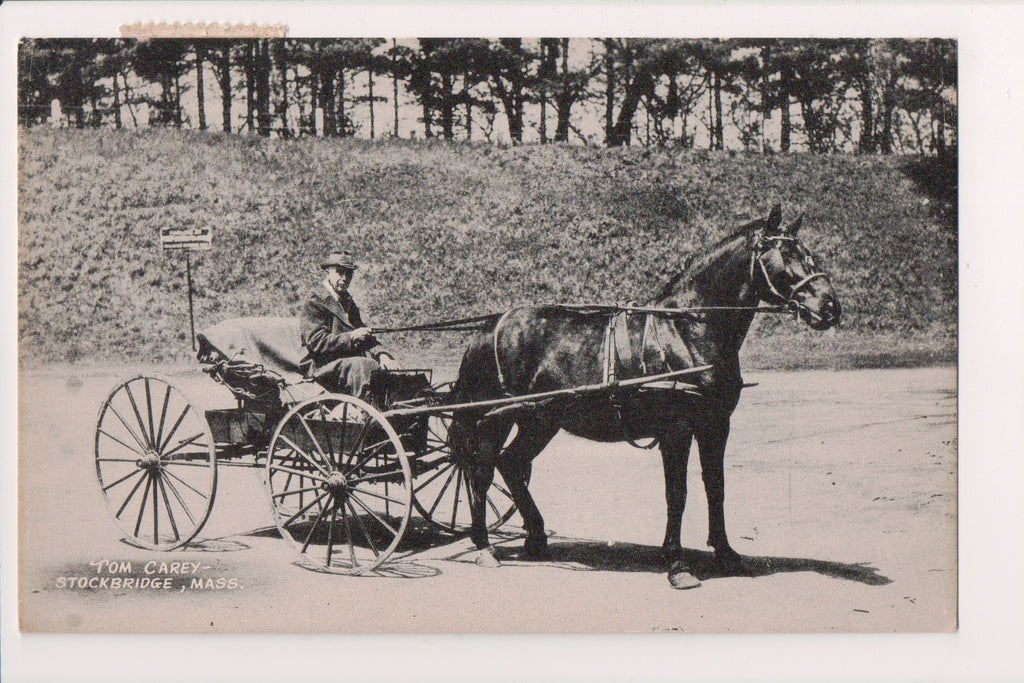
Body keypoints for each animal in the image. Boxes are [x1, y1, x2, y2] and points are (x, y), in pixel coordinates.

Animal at [452, 205, 843, 589]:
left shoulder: (716, 425)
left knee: (511, 463)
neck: (688, 329)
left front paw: (726, 554)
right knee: (481, 469)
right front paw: (677, 563)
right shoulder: (677, 428)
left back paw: (535, 537)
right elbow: (677, 492)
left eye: (807, 251)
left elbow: (715, 487)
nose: (830, 306)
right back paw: (483, 545)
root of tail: (489, 326)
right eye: (787, 253)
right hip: (498, 416)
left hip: (540, 419)